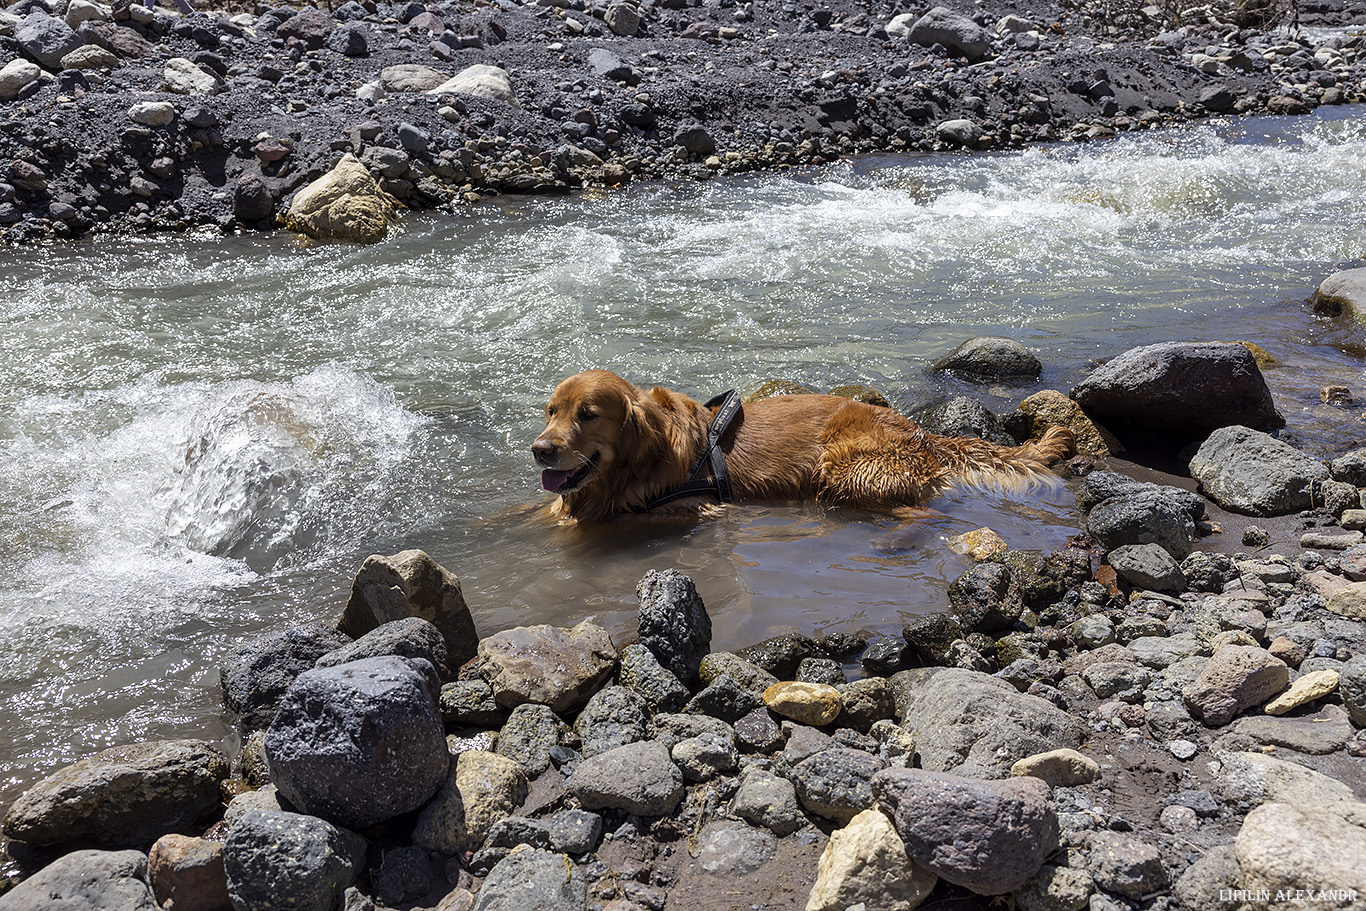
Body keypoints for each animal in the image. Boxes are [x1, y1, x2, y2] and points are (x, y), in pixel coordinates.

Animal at [532, 368, 1076, 524]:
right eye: (550, 411)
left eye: (588, 414)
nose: (540, 449)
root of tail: (917, 428)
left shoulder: (688, 508)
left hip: (841, 467)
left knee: (920, 508)